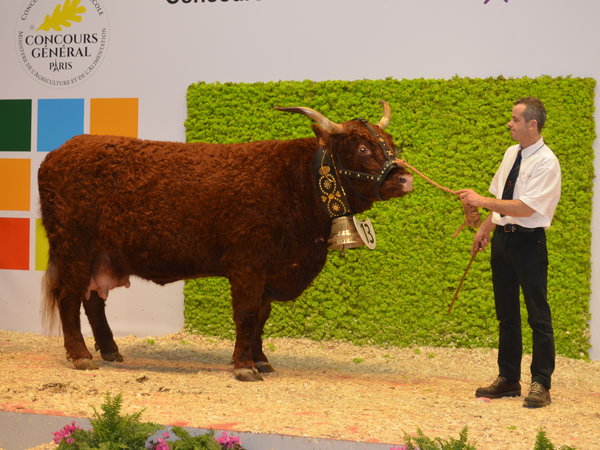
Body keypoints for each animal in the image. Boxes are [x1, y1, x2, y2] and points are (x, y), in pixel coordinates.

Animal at [37, 103, 412, 382]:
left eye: (391, 144)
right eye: (362, 147)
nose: (405, 178)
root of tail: (60, 151)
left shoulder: (270, 271)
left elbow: (262, 316)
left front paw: (261, 360)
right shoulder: (248, 264)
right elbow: (246, 314)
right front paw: (244, 367)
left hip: (99, 256)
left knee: (92, 301)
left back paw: (110, 350)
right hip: (74, 248)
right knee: (69, 299)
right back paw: (82, 356)